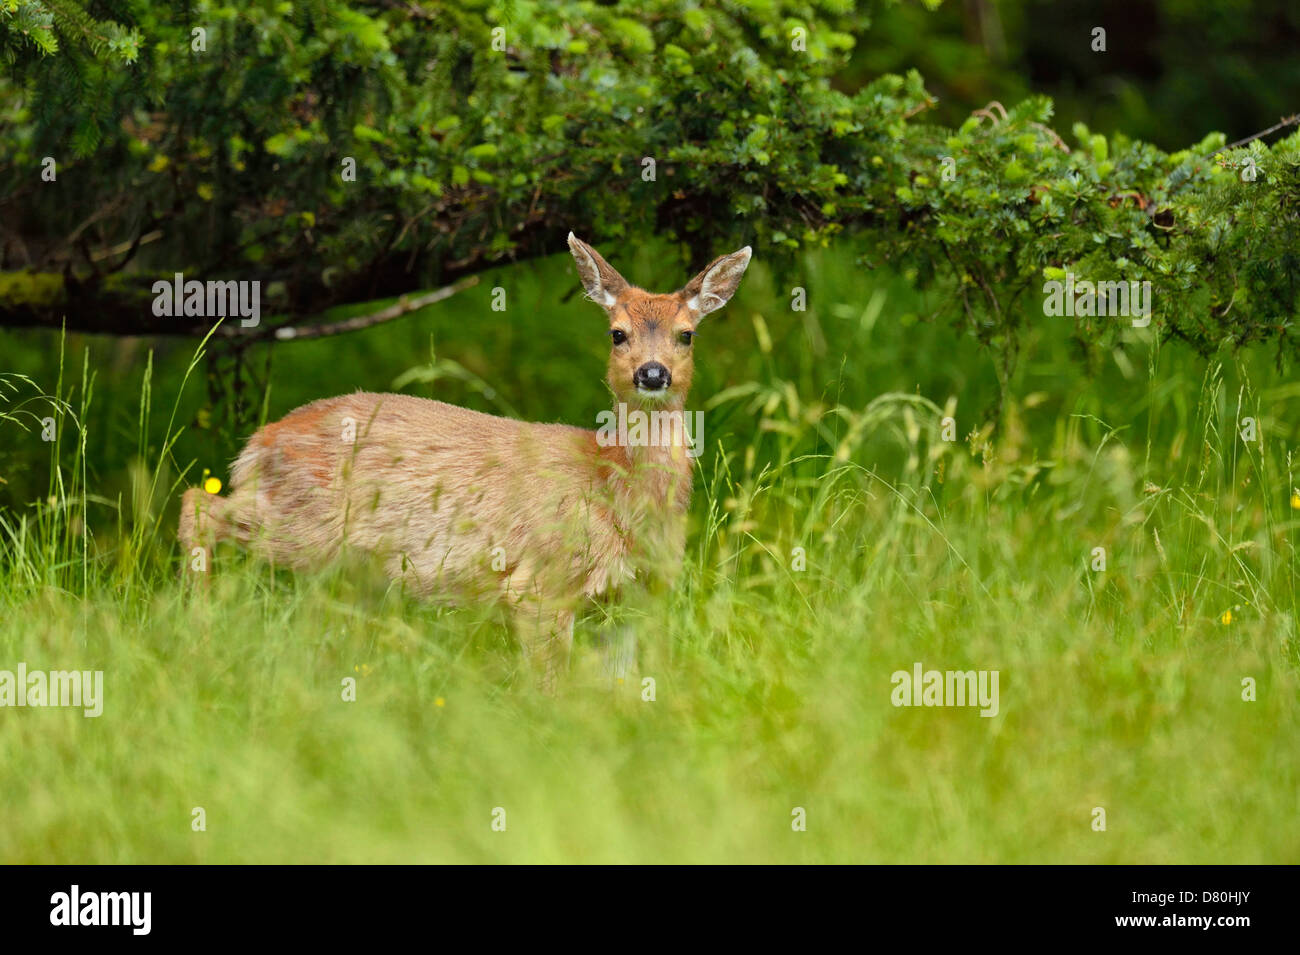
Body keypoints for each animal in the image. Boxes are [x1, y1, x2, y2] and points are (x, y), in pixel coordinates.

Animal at [178, 235, 759, 691]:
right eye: (617, 333)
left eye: (687, 334)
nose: (653, 373)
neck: (613, 488)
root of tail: (258, 443)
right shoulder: (539, 583)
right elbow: (550, 687)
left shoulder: (635, 598)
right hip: (306, 521)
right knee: (196, 505)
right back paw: (197, 636)